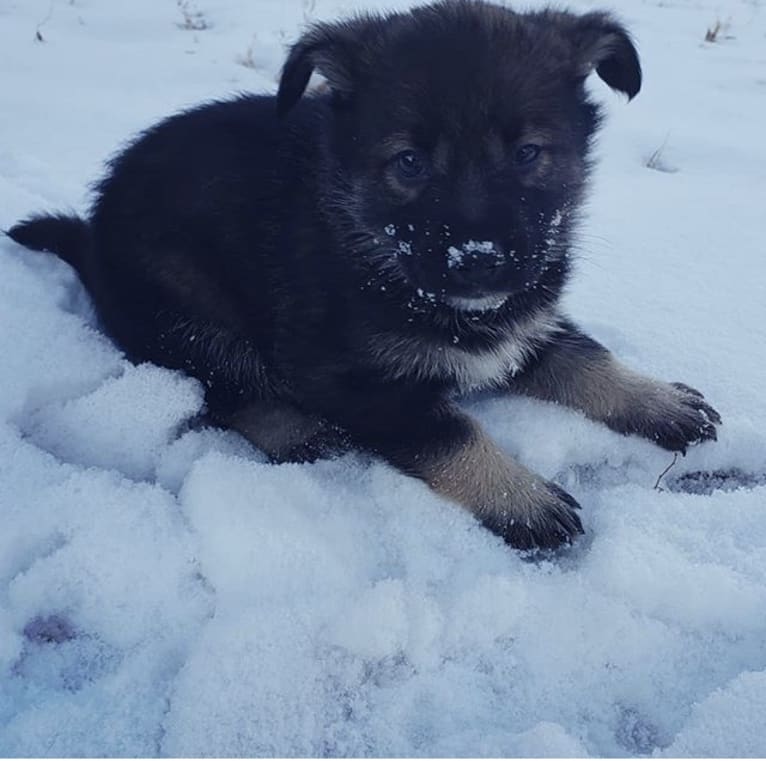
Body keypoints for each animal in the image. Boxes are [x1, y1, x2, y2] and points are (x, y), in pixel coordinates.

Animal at [9, 0, 724, 548]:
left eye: (527, 154)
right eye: (409, 163)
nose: (479, 260)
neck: (375, 254)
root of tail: (91, 239)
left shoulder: (522, 316)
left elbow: (582, 355)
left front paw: (656, 401)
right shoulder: (353, 378)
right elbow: (451, 433)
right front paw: (521, 499)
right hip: (184, 309)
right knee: (223, 386)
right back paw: (301, 429)